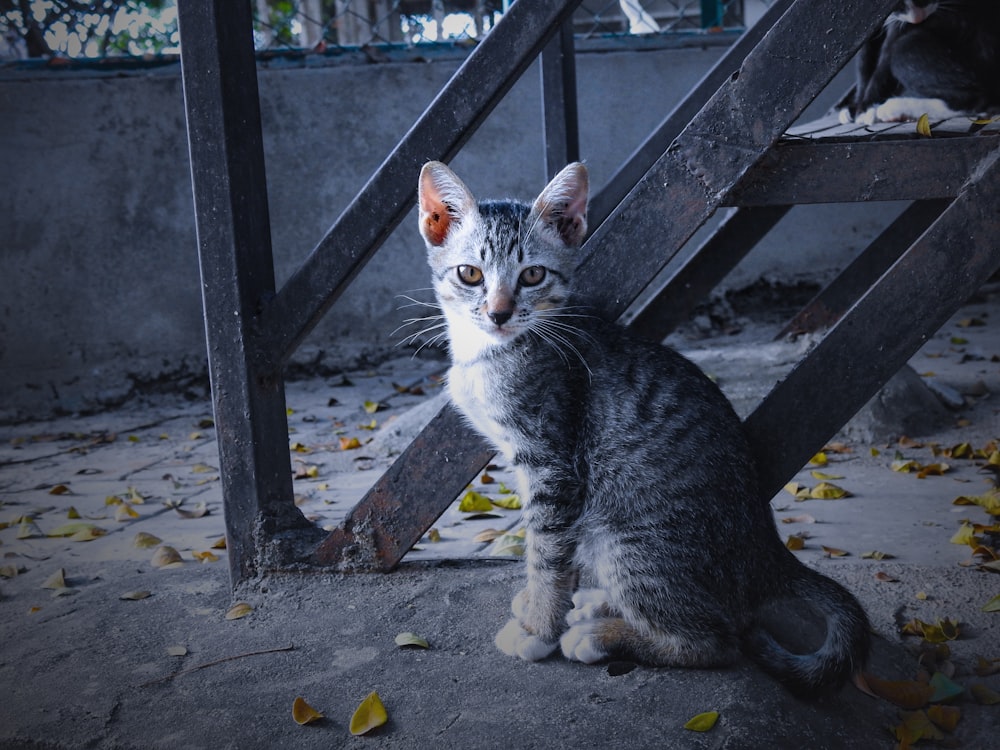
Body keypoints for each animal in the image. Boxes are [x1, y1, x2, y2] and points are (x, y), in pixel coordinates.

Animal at [414, 162, 868, 696]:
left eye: (532, 275)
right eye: (470, 274)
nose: (499, 312)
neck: (490, 352)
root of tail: (767, 551)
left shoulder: (553, 463)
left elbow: (547, 550)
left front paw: (539, 628)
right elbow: (546, 549)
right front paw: (542, 603)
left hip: (628, 538)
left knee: (717, 642)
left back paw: (602, 636)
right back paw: (599, 605)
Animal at [844, 0, 1000, 123]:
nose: (918, 18)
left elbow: (884, 61)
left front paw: (866, 108)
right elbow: (863, 61)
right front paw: (857, 106)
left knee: (976, 99)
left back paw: (896, 108)